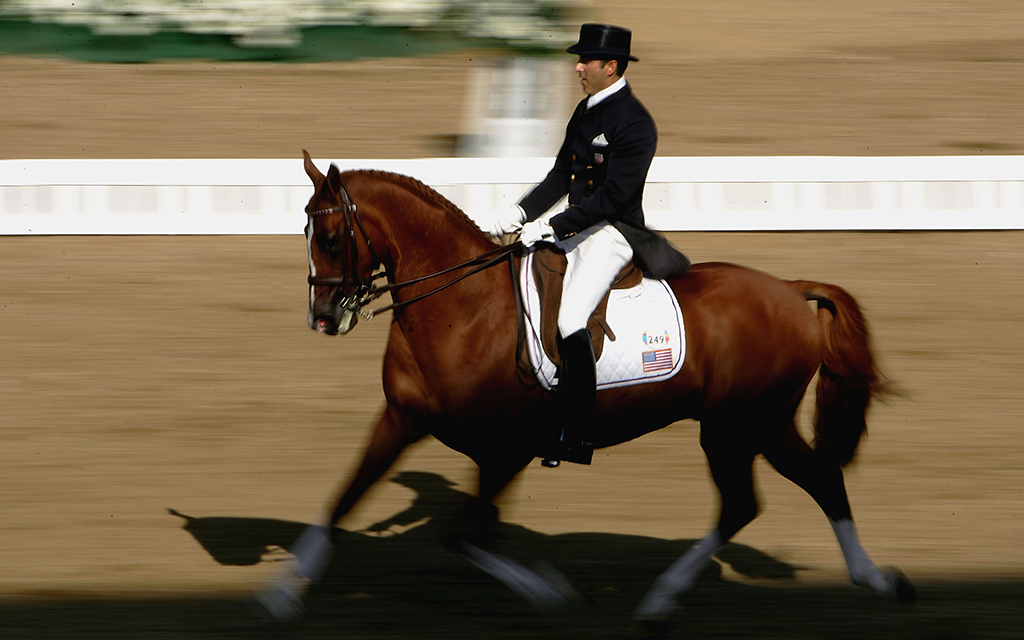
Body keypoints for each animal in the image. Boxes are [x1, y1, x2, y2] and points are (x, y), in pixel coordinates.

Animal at [260, 152, 917, 622]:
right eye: (304, 235)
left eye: (333, 239)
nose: (323, 319)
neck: (462, 309)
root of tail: (789, 290)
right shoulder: (401, 419)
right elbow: (344, 498)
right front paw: (283, 594)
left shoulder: (507, 450)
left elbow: (463, 536)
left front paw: (555, 593)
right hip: (754, 424)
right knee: (793, 488)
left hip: (741, 424)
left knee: (766, 496)